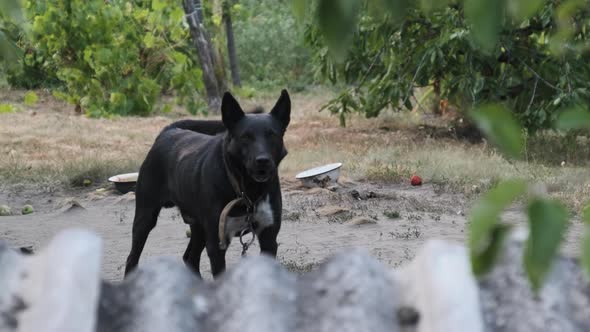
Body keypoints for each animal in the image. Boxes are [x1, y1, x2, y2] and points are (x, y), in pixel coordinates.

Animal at [125, 90, 292, 278]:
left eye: (272, 135)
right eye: (245, 137)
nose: (263, 161)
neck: (248, 191)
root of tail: (168, 132)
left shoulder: (269, 238)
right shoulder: (217, 244)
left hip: (198, 226)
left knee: (190, 258)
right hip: (145, 217)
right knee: (132, 258)